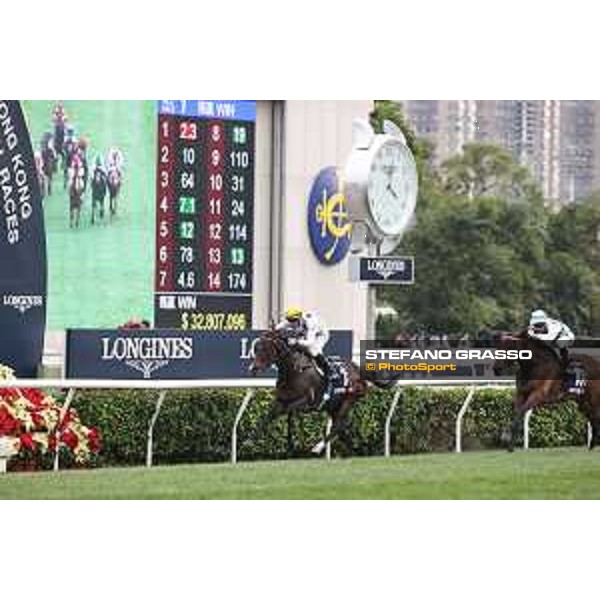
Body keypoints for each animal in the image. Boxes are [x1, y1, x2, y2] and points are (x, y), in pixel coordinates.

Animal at [247, 328, 394, 454]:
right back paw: (354, 449)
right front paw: (251, 438)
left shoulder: (307, 402)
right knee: (341, 429)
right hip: (332, 406)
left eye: (266, 348)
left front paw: (292, 443)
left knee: (338, 426)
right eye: (256, 348)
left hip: (348, 400)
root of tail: (358, 369)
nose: (253, 368)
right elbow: (268, 418)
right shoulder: (281, 401)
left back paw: (317, 448)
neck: (294, 370)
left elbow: (289, 411)